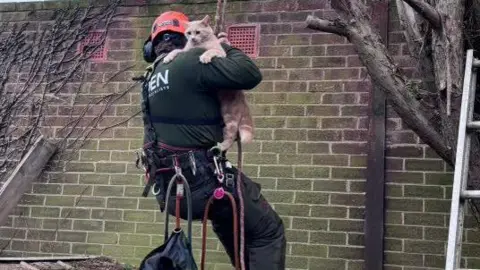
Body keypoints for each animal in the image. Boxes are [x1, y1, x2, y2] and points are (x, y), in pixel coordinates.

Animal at [164, 14, 255, 152]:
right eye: (189, 33)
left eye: (198, 32)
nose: (192, 38)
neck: (197, 45)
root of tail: (244, 102)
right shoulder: (185, 51)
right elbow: (176, 51)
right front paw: (167, 57)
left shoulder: (220, 53)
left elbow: (210, 51)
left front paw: (205, 57)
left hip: (230, 117)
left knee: (231, 135)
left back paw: (221, 146)